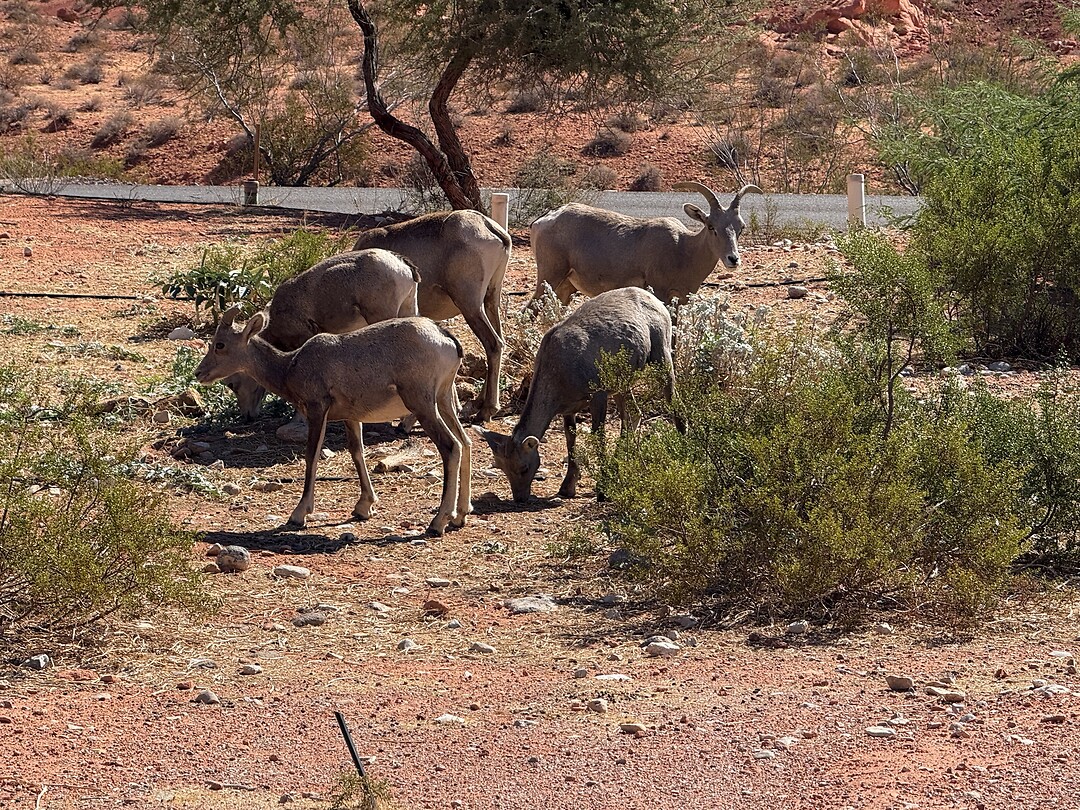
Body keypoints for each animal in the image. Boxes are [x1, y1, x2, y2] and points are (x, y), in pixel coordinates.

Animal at [196, 306, 471, 536]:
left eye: (219, 345)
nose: (199, 373)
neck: (290, 365)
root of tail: (445, 339)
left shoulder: (317, 409)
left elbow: (312, 455)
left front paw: (298, 515)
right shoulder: (351, 417)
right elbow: (356, 452)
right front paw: (363, 508)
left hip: (423, 404)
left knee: (451, 446)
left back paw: (438, 522)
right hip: (443, 400)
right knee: (466, 442)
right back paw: (460, 516)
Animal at [352, 209, 511, 421]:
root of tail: (488, 225)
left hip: (470, 305)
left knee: (493, 343)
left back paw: (487, 409)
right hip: (490, 300)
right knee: (499, 342)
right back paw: (479, 403)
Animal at [481, 287, 677, 503]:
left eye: (524, 468)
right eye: (503, 468)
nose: (520, 497)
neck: (557, 371)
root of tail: (654, 300)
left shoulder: (598, 395)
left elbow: (598, 436)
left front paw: (602, 490)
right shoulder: (568, 410)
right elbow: (570, 441)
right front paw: (567, 487)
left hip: (661, 357)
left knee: (672, 401)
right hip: (621, 385)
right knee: (633, 414)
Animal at [529, 182, 762, 305]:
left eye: (740, 227)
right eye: (711, 226)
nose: (733, 259)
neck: (683, 249)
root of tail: (542, 221)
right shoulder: (660, 294)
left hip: (565, 288)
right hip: (550, 276)